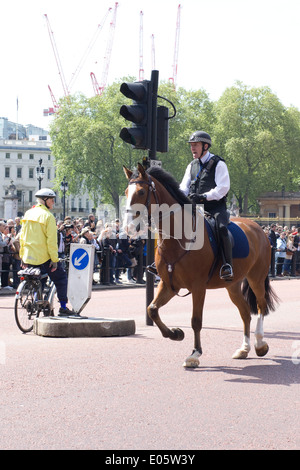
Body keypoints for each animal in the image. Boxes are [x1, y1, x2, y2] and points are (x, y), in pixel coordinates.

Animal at [123, 164, 278, 368]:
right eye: (126, 192)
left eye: (141, 192)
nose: (128, 228)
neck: (179, 238)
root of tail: (258, 228)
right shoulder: (169, 284)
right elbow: (152, 309)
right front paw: (175, 333)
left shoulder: (198, 287)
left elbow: (196, 320)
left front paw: (195, 354)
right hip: (232, 285)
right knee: (245, 312)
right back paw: (244, 349)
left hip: (256, 279)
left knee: (260, 307)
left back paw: (260, 344)